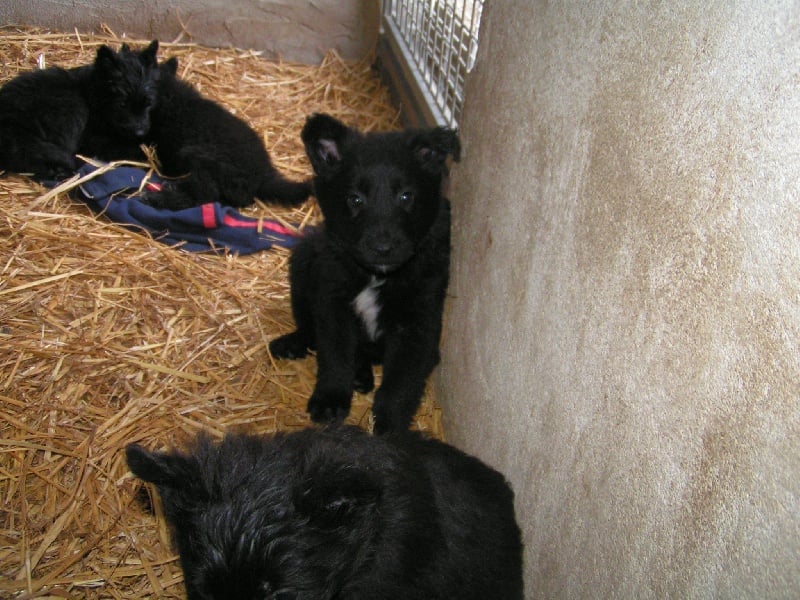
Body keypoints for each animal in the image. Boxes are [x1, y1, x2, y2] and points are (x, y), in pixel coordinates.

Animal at [0, 40, 161, 178]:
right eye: (122, 104)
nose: (139, 133)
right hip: (73, 108)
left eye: (148, 103)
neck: (91, 95)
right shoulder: (92, 138)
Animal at [268, 111, 460, 432]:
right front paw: (330, 400)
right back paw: (294, 344)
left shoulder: (417, 322)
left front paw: (390, 427)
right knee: (309, 326)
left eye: (406, 197)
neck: (377, 275)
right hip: (304, 258)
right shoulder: (332, 301)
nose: (382, 248)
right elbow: (335, 356)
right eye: (355, 199)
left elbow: (400, 385)